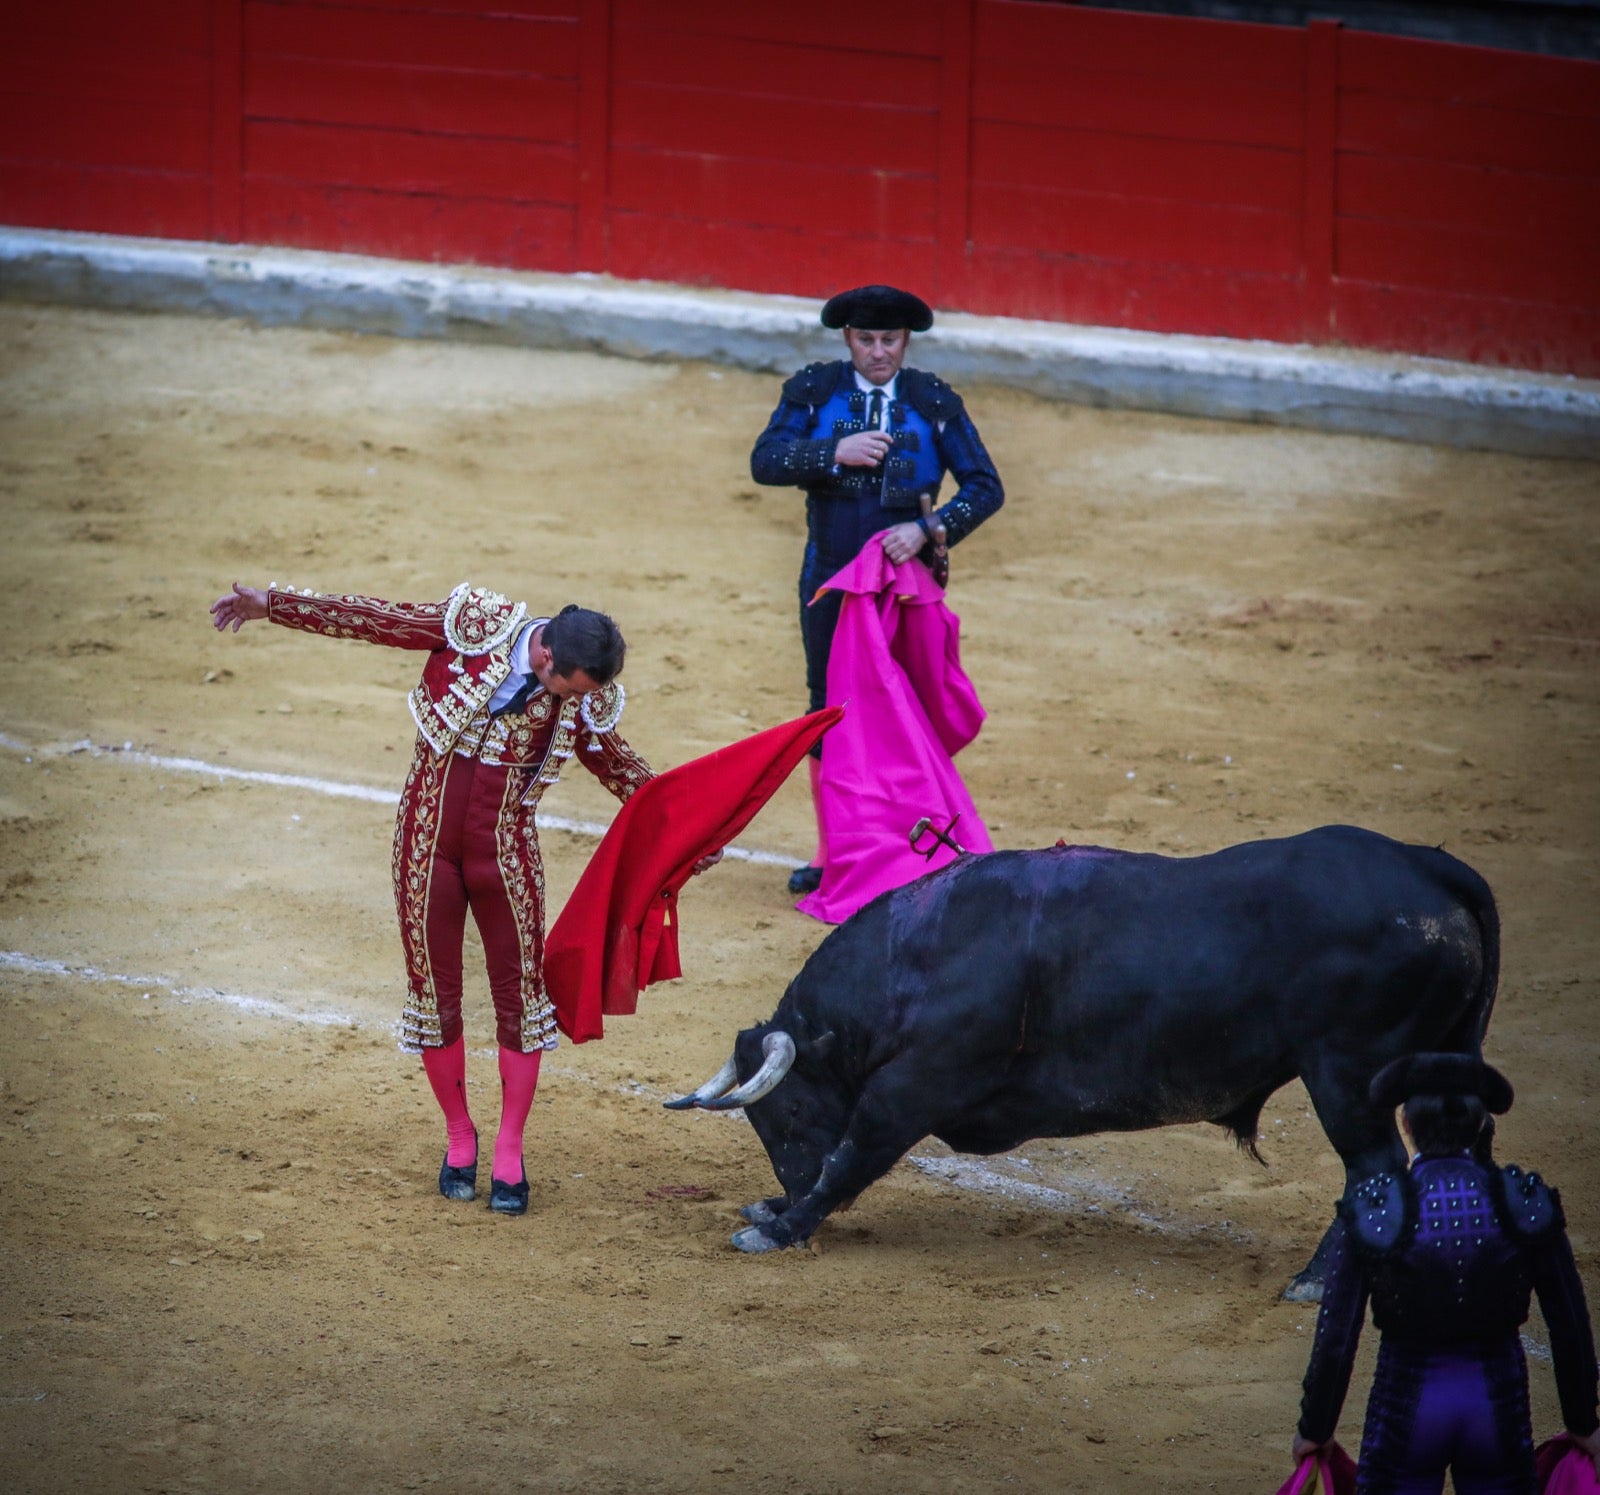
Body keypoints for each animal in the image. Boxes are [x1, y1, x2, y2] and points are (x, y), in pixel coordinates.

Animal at [662, 825, 1497, 1293]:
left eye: (790, 1110)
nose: (786, 1190)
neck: (922, 953)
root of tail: (1429, 867)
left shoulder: (912, 1086)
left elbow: (850, 1157)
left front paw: (780, 1226)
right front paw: (776, 1211)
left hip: (1347, 1076)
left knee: (1377, 1168)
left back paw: (1315, 1282)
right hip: (1436, 1067)